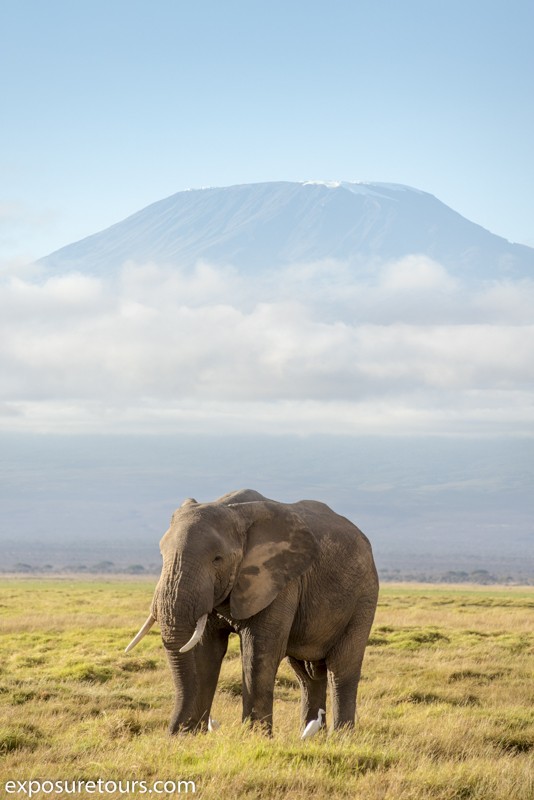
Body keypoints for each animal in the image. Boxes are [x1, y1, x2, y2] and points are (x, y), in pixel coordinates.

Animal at [126, 484, 382, 736]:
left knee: (341, 668)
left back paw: (341, 737)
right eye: (161, 555)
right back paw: (312, 736)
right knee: (306, 675)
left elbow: (259, 652)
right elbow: (205, 652)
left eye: (217, 559)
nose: (172, 732)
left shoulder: (280, 581)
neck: (233, 510)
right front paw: (188, 736)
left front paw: (254, 737)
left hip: (364, 598)